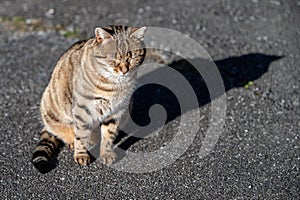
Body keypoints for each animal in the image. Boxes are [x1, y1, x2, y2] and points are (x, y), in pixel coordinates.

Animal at [32, 25, 147, 169]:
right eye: (113, 58)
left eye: (131, 57)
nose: (124, 70)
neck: (114, 84)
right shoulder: (82, 109)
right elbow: (81, 135)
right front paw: (81, 154)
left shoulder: (116, 110)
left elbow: (108, 134)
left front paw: (106, 153)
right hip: (50, 107)